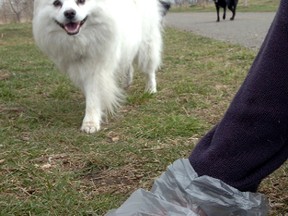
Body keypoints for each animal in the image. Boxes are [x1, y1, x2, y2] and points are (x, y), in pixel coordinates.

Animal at [32, 0, 168, 133]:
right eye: (56, 3)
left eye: (81, 1)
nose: (69, 13)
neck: (81, 40)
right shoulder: (78, 68)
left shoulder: (96, 70)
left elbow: (93, 95)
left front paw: (90, 122)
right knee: (128, 64)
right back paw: (126, 83)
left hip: (147, 46)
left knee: (149, 71)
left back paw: (150, 89)